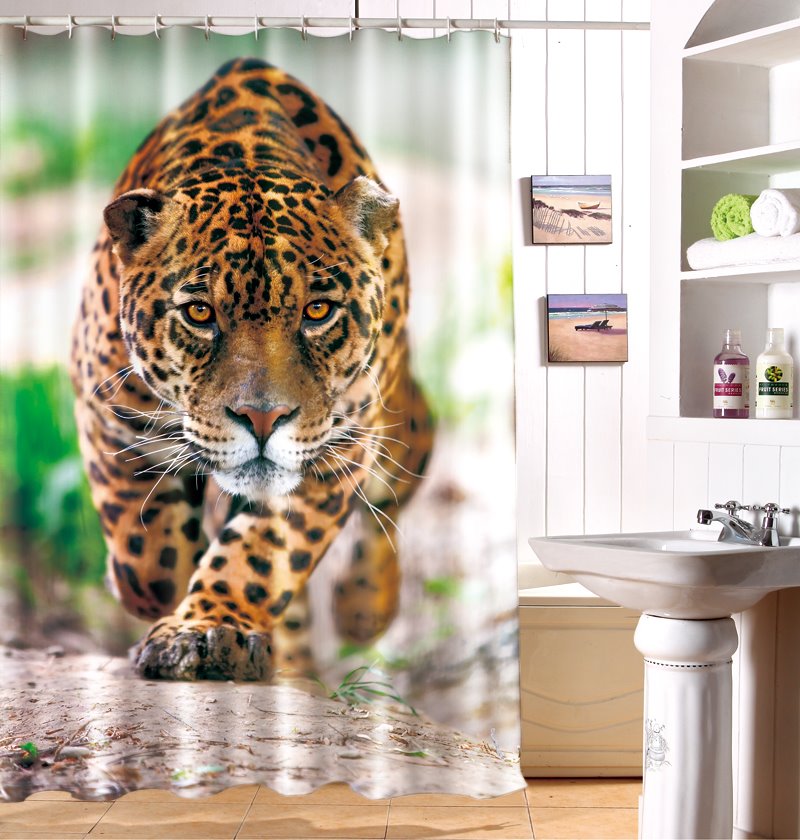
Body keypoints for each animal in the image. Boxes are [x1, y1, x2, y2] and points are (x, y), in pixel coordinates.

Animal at [70, 56, 434, 681]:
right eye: (199, 313)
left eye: (318, 311)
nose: (262, 420)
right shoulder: (104, 410)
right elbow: (147, 548)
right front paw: (156, 590)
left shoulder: (337, 447)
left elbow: (262, 554)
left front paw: (207, 629)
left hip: (402, 425)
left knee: (389, 499)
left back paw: (363, 609)